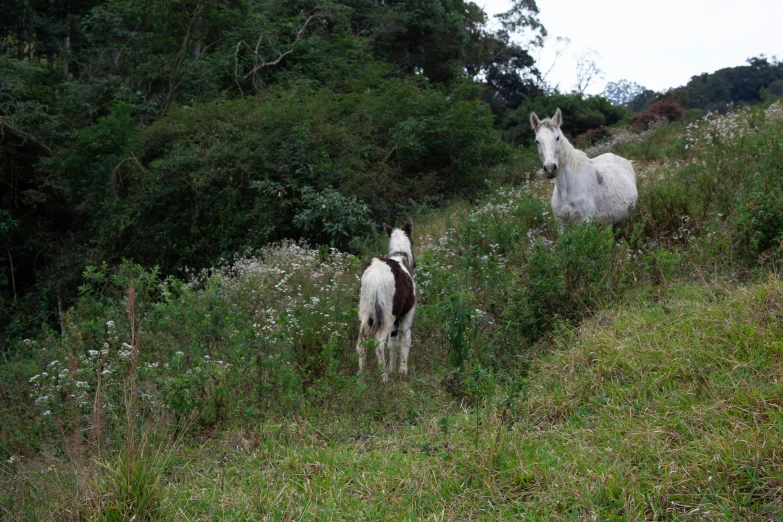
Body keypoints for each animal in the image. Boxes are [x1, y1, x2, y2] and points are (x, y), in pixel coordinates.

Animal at [356, 217, 416, 380]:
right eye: (413, 240)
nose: (415, 263)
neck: (402, 257)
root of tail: (374, 279)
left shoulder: (396, 318)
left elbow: (393, 343)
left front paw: (392, 369)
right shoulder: (408, 313)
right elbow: (405, 341)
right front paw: (402, 371)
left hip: (366, 310)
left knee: (361, 341)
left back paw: (360, 378)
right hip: (387, 312)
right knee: (378, 341)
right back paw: (383, 378)